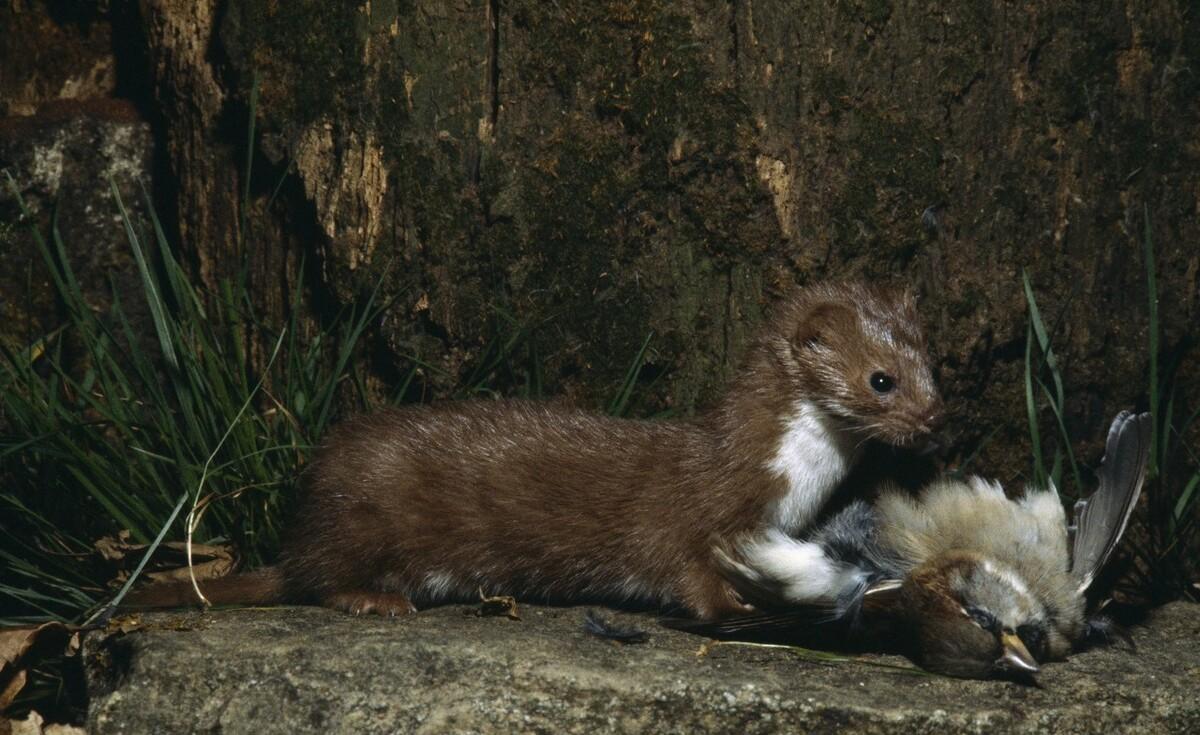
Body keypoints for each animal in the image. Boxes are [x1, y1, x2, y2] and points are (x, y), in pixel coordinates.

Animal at [126, 281, 940, 619]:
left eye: (935, 365)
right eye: (882, 379)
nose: (935, 420)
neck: (795, 481)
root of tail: (299, 532)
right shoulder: (690, 511)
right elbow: (681, 568)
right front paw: (730, 603)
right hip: (361, 514)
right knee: (317, 578)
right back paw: (374, 599)